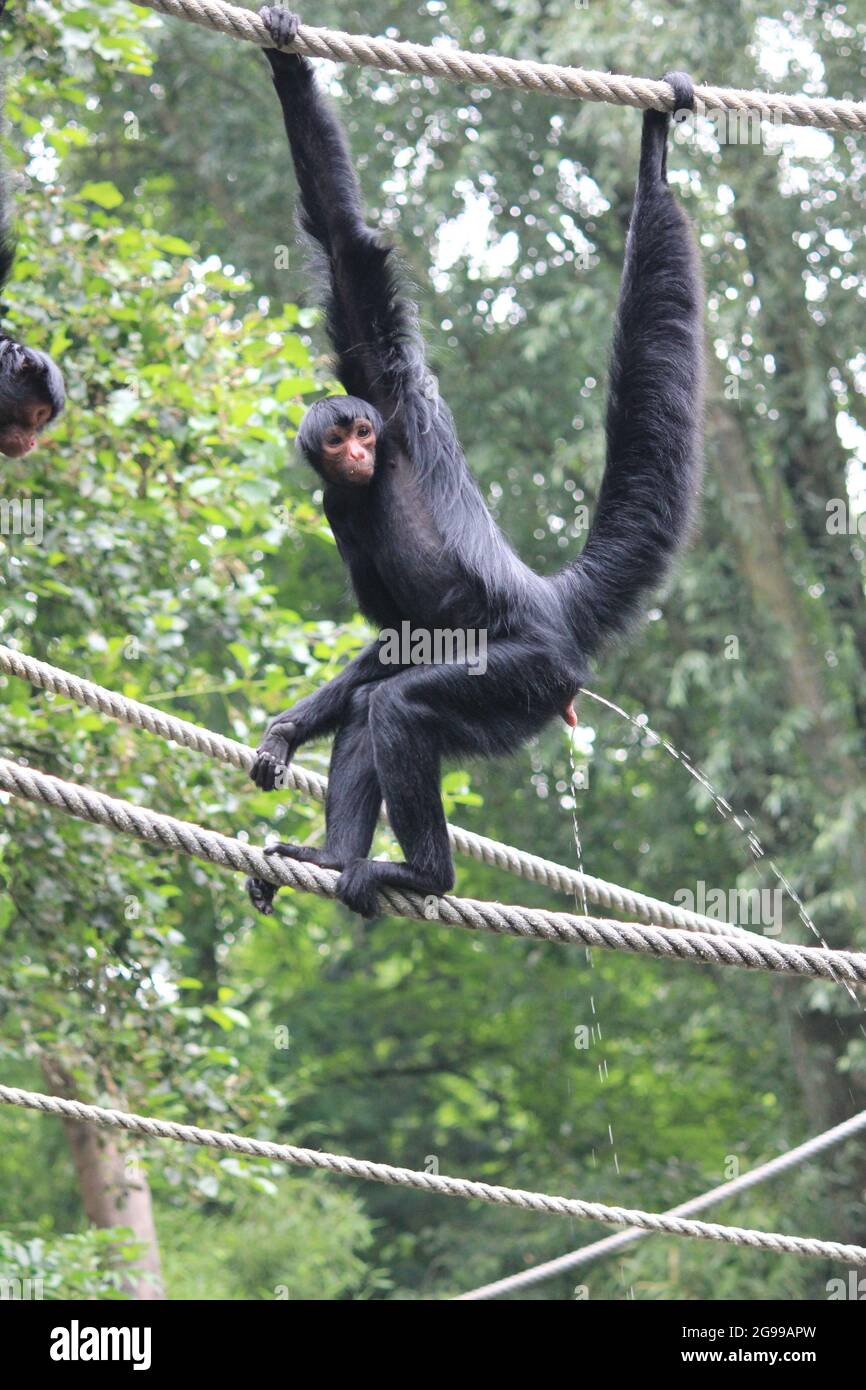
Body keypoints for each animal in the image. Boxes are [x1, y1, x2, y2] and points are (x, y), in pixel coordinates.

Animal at [246, 10, 706, 922]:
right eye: (338, 444)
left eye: (363, 432)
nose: (358, 450)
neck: (374, 475)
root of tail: (548, 599)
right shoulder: (337, 506)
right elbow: (395, 634)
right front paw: (285, 732)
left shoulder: (390, 387)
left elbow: (345, 245)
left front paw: (284, 58)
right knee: (375, 703)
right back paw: (333, 855)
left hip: (525, 672)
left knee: (402, 706)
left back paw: (423, 874)